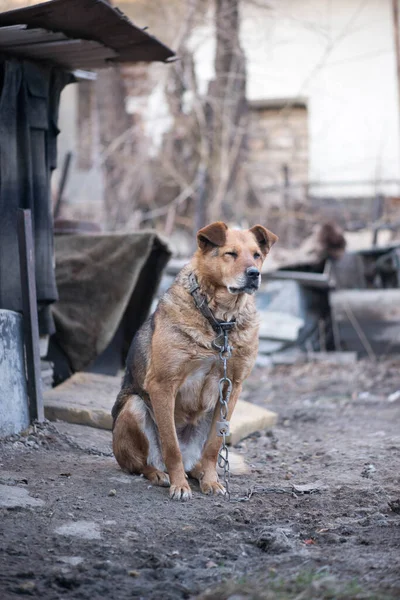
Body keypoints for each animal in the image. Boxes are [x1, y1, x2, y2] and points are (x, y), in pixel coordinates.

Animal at [111, 223, 276, 500]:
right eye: (230, 254)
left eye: (256, 255)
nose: (254, 274)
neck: (220, 320)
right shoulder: (163, 384)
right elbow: (171, 446)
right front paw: (179, 486)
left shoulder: (232, 387)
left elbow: (213, 447)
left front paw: (211, 481)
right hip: (134, 407)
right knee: (140, 463)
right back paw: (160, 474)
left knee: (202, 456)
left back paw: (200, 473)